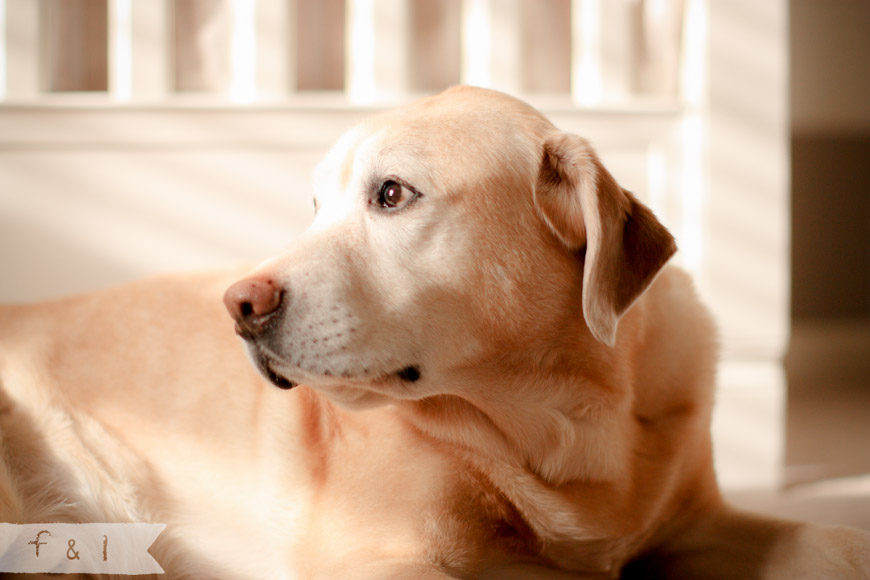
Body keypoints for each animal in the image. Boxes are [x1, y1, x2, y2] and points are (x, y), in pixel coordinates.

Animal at [1, 87, 870, 580]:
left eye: (391, 194)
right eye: (314, 206)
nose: (239, 305)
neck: (570, 423)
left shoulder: (697, 523)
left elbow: (833, 541)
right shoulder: (377, 561)